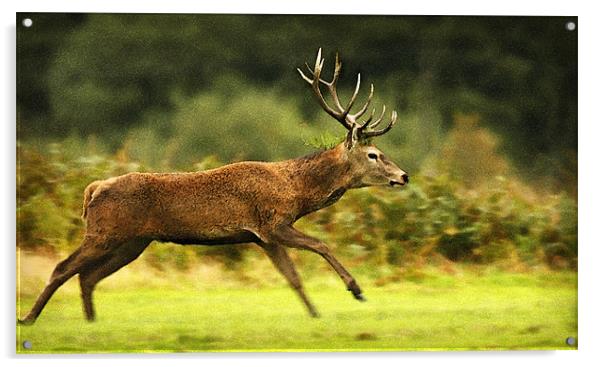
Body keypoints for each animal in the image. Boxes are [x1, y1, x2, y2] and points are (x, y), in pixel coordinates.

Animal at [17, 48, 408, 324]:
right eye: (373, 154)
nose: (403, 175)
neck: (296, 190)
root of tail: (94, 188)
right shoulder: (272, 223)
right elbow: (320, 245)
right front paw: (356, 290)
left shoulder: (261, 237)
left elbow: (293, 277)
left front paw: (315, 313)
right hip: (105, 232)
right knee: (64, 267)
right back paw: (30, 318)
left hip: (133, 241)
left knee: (88, 276)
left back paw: (91, 322)